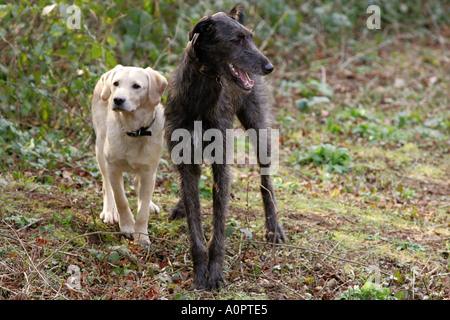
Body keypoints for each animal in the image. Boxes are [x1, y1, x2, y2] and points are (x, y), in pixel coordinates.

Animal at [164, 5, 284, 290]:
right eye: (237, 40)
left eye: (250, 37)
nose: (269, 67)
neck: (199, 92)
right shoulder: (185, 158)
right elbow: (194, 223)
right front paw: (200, 273)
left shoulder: (221, 165)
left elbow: (218, 230)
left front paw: (216, 273)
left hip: (257, 127)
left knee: (266, 180)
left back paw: (273, 227)